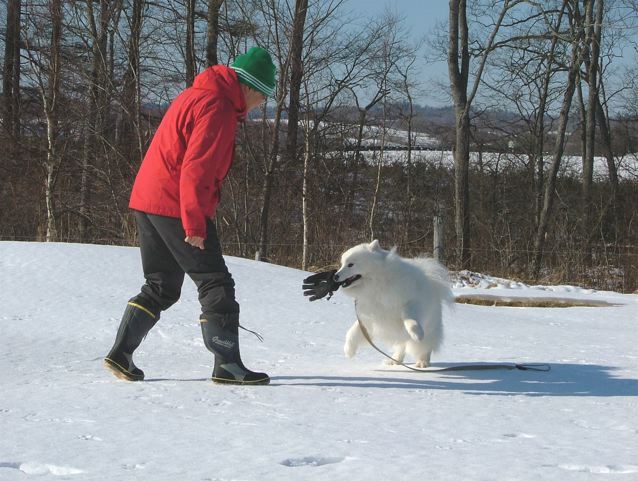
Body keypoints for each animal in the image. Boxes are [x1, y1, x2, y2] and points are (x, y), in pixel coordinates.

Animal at [336, 240, 456, 368]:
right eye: (342, 264)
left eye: (350, 265)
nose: (335, 276)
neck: (377, 284)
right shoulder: (368, 317)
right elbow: (352, 332)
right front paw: (348, 350)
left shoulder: (410, 302)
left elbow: (410, 319)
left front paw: (416, 333)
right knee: (401, 347)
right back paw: (394, 360)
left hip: (430, 328)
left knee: (425, 346)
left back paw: (422, 362)